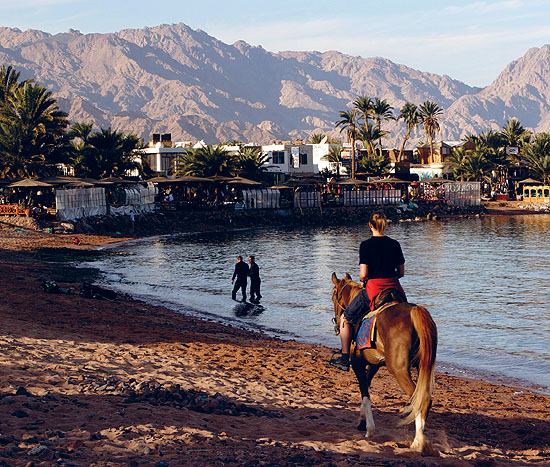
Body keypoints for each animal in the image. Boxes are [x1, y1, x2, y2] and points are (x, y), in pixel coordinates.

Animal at [332, 272, 440, 456]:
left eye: (333, 296)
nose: (337, 323)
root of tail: (415, 311)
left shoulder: (357, 364)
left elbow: (365, 393)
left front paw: (369, 428)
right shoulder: (374, 365)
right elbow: (366, 388)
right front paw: (362, 421)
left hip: (399, 370)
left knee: (420, 400)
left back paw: (418, 442)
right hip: (422, 367)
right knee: (424, 398)